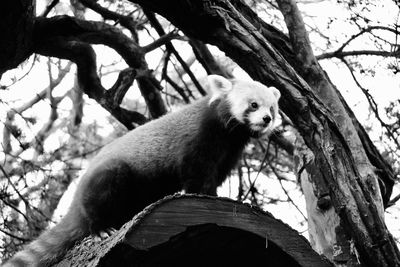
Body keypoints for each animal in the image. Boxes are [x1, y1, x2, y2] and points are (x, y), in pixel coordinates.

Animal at [3, 74, 280, 266]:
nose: (267, 119)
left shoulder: (230, 152)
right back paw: (101, 227)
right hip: (111, 175)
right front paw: (207, 196)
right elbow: (197, 173)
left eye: (272, 109)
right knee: (101, 195)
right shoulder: (199, 139)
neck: (229, 134)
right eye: (253, 105)